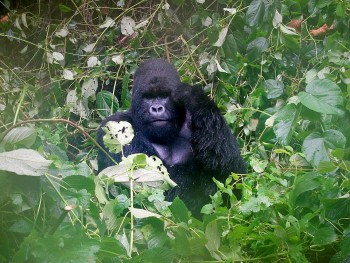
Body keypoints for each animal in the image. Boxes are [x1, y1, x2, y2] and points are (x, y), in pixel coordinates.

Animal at [97, 58, 245, 213]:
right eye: (148, 97)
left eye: (164, 96)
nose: (156, 108)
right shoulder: (114, 126)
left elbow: (234, 172)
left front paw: (193, 97)